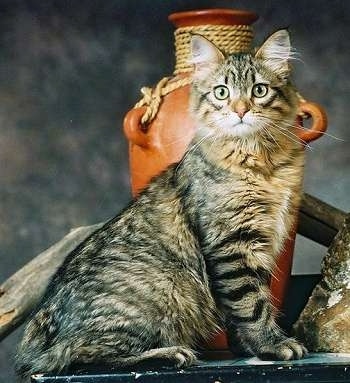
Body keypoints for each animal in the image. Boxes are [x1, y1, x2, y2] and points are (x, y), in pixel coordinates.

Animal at [15, 30, 306, 380]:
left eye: (259, 90)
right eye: (222, 92)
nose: (240, 110)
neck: (260, 161)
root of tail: (40, 328)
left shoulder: (259, 243)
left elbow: (246, 304)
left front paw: (247, 348)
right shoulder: (231, 244)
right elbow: (251, 304)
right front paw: (271, 344)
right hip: (164, 290)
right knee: (77, 356)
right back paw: (171, 354)